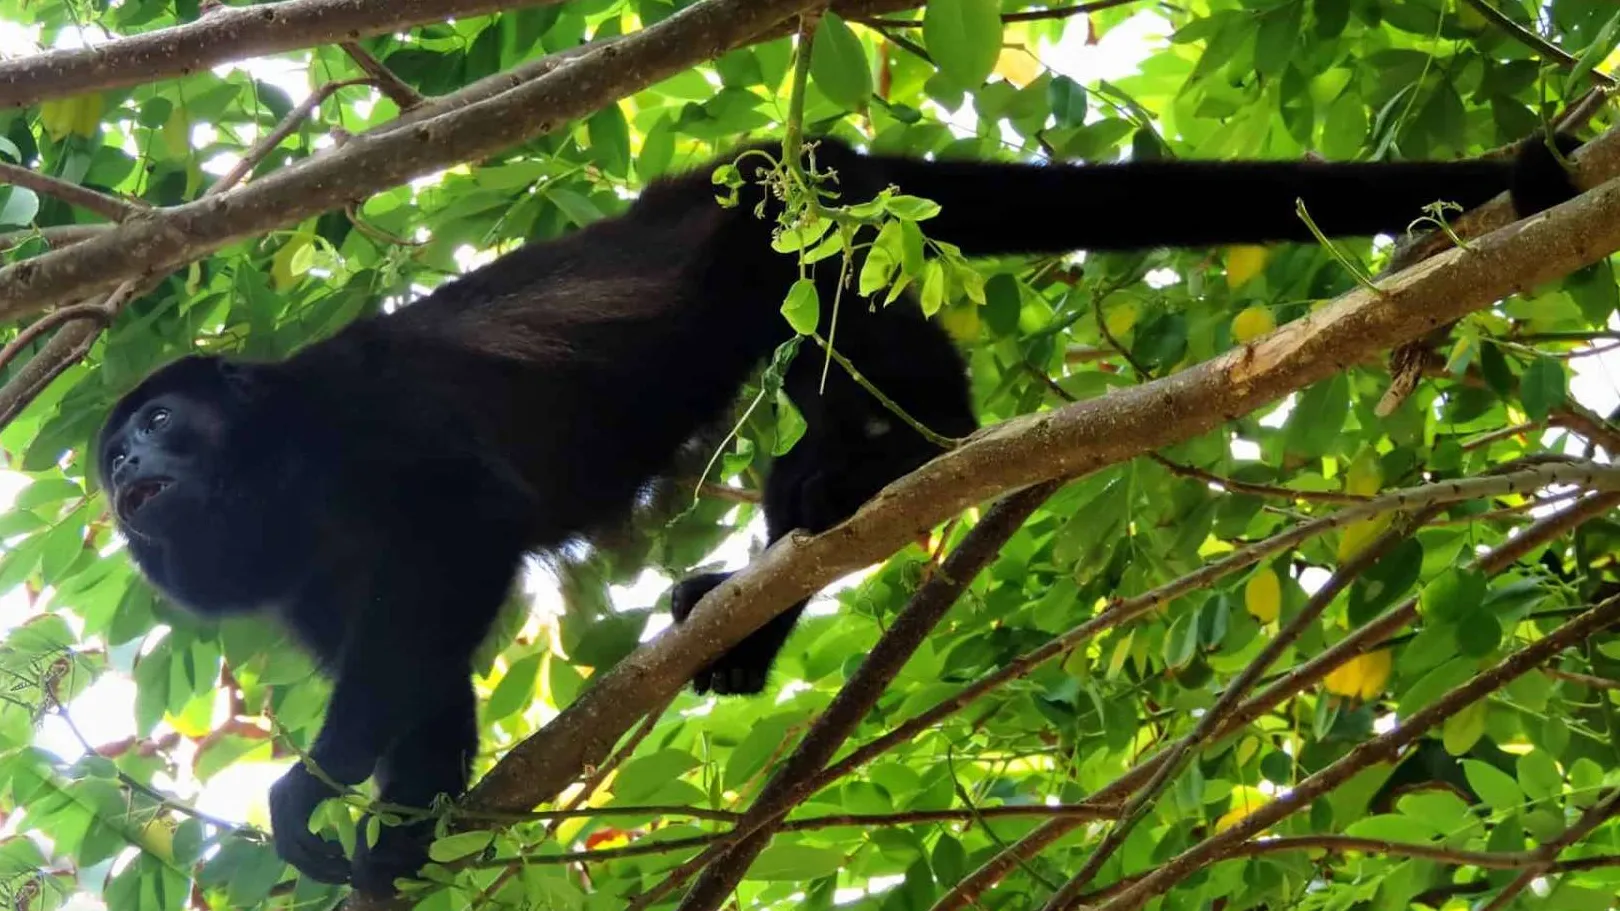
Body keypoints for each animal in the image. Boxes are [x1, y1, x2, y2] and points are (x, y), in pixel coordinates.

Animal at [91, 131, 1581, 888]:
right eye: (112, 450)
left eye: (152, 424)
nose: (113, 474)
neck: (277, 475)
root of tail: (823, 145)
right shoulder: (314, 585)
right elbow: (422, 670)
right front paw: (407, 826)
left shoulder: (359, 416)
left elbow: (459, 533)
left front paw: (315, 788)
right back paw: (757, 589)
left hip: (812, 218)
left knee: (837, 329)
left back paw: (906, 453)